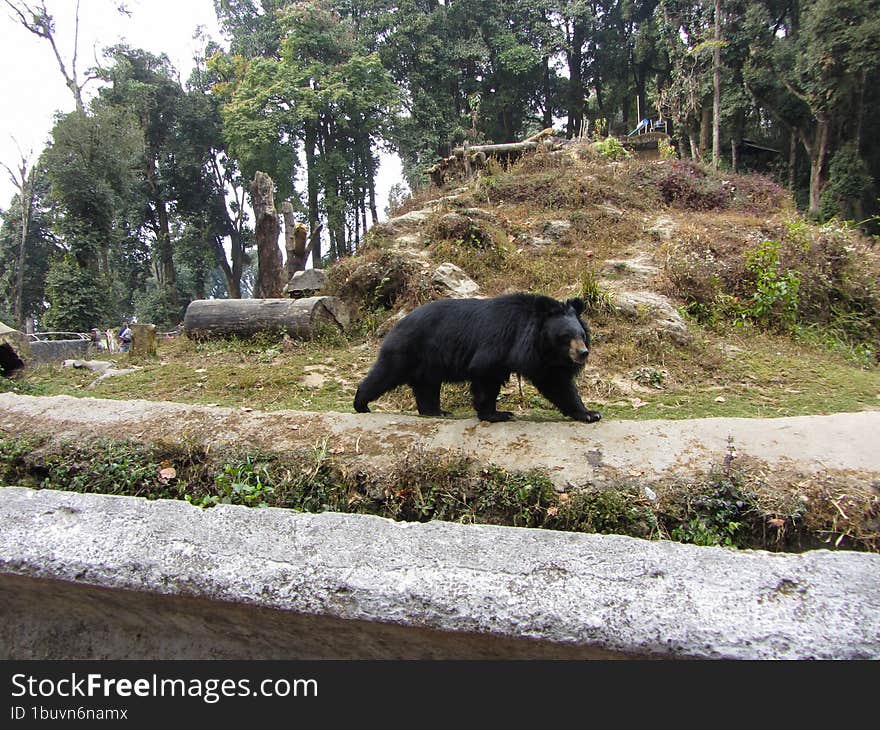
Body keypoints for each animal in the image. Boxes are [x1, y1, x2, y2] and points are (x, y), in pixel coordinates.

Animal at [354, 292, 600, 420]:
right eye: (565, 337)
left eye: (581, 335)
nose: (583, 353)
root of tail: (399, 322)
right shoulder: (499, 343)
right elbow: (485, 375)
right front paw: (498, 414)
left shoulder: (543, 359)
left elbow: (557, 384)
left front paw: (589, 414)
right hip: (409, 349)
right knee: (386, 373)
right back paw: (361, 404)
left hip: (429, 361)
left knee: (426, 385)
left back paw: (437, 412)